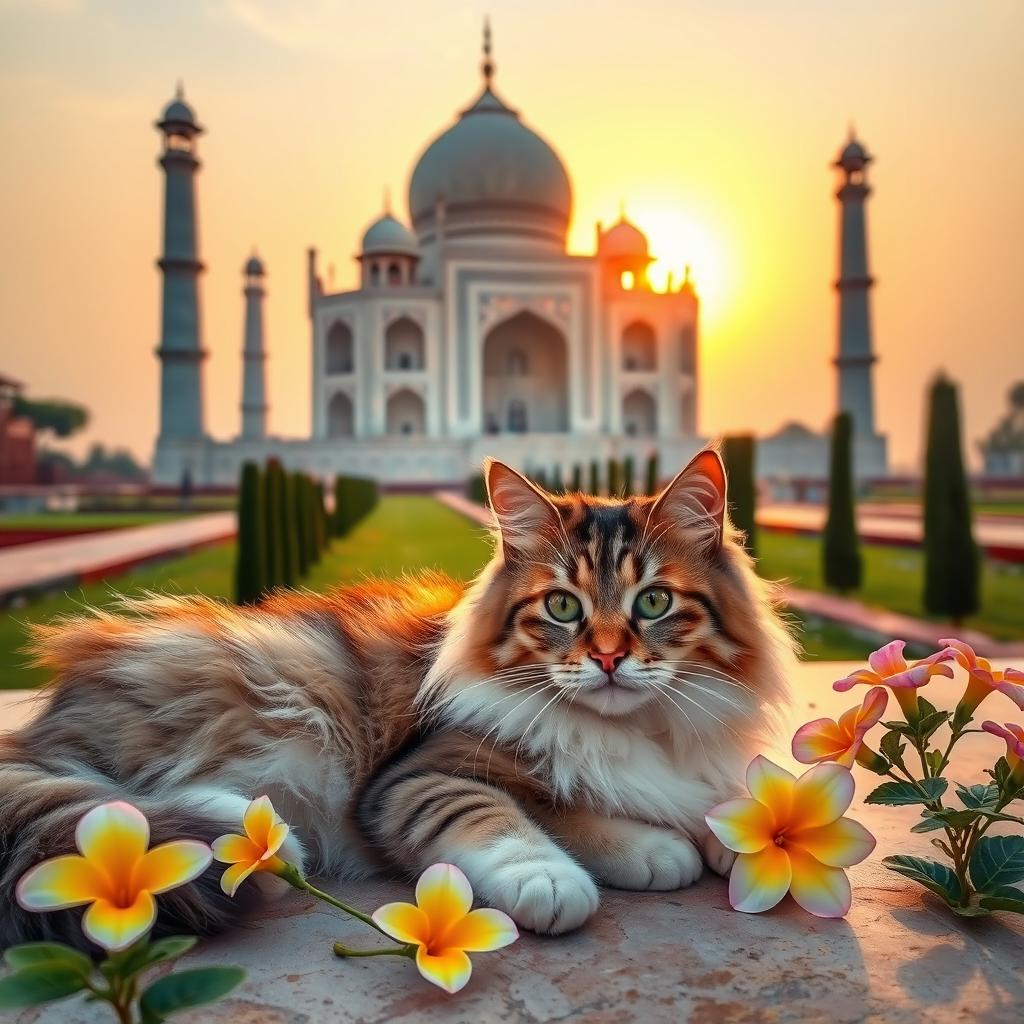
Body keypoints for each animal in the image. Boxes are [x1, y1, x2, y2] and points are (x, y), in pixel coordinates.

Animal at [0, 452, 790, 946]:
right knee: (120, 805)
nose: (606, 658)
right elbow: (535, 814)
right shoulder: (417, 776)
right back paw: (245, 843)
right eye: (562, 608)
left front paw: (721, 838)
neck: (642, 729)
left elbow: (704, 803)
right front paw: (577, 872)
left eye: (653, 601)